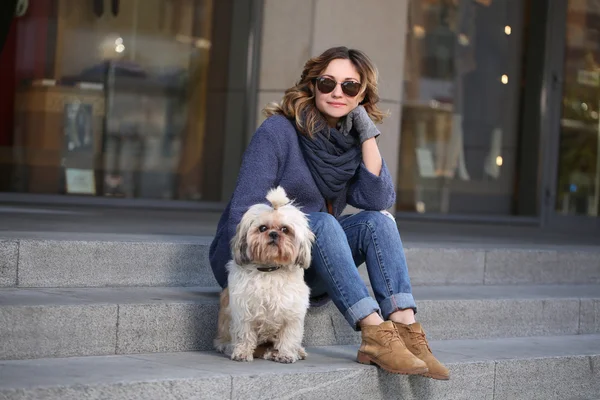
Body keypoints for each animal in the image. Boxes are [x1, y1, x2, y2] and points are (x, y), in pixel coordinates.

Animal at [214, 186, 316, 364]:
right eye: (262, 228)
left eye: (285, 229)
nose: (274, 234)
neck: (269, 270)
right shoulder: (243, 311)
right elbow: (244, 334)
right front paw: (242, 352)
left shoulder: (292, 314)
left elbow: (289, 337)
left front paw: (286, 353)